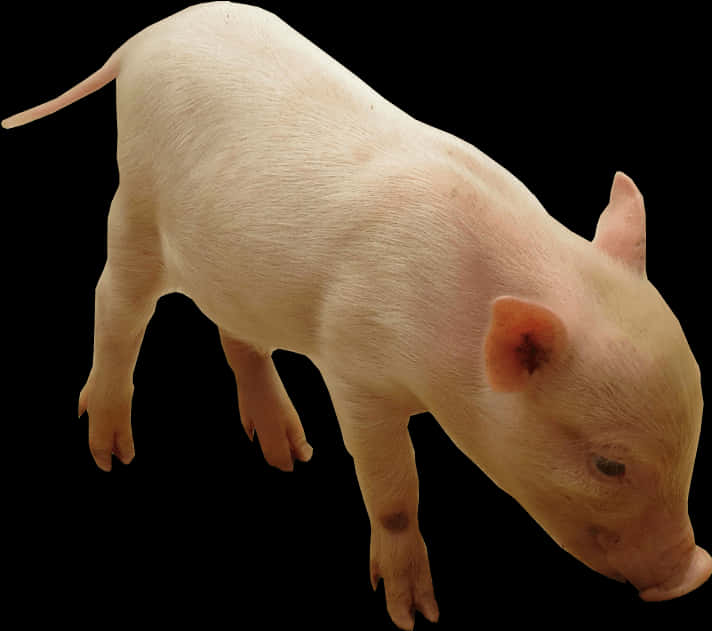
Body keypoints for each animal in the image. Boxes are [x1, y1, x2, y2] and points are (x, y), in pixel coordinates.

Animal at [3, 2, 709, 628]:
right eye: (609, 465)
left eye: (697, 429)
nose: (694, 573)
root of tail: (147, 35)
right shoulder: (355, 368)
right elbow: (393, 489)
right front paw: (415, 616)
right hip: (135, 207)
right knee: (115, 309)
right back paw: (111, 454)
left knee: (238, 337)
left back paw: (289, 456)